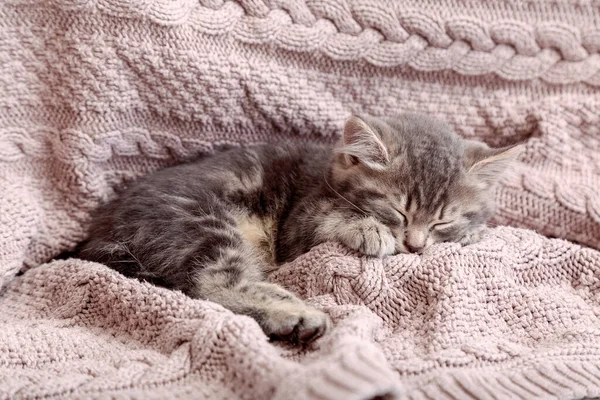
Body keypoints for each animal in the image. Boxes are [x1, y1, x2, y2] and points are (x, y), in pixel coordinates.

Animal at [78, 113, 520, 344]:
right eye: (398, 211)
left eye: (443, 218)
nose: (414, 245)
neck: (328, 173)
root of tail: (101, 232)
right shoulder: (298, 225)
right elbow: (330, 218)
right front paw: (369, 229)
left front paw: (472, 232)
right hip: (203, 224)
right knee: (210, 286)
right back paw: (296, 315)